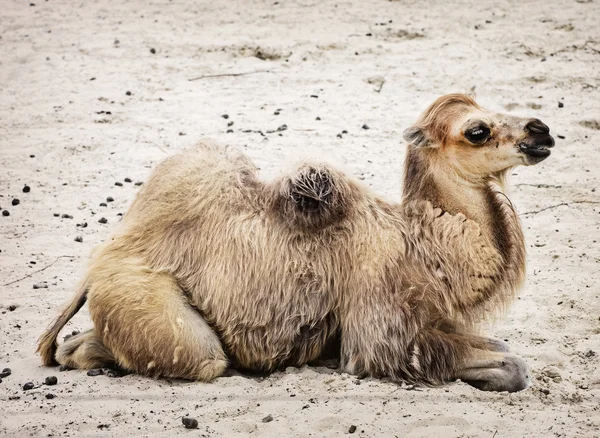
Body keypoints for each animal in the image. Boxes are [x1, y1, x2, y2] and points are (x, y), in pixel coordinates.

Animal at [36, 94, 552, 392]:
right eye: (476, 130)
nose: (540, 130)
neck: (425, 246)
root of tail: (102, 261)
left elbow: (505, 349)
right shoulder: (381, 324)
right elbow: (508, 365)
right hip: (147, 298)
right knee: (198, 357)